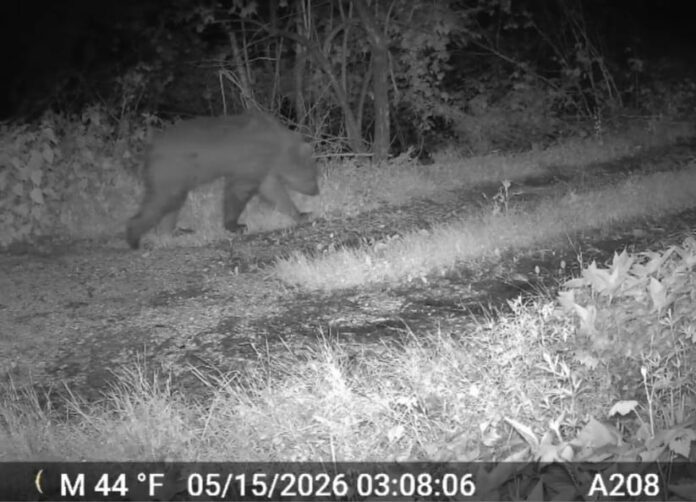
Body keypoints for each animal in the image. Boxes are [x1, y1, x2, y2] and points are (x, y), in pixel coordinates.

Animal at [125, 112, 319, 249]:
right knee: (161, 201)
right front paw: (236, 225)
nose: (316, 191)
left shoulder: (263, 166)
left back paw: (173, 232)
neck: (278, 145)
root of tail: (150, 147)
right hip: (171, 171)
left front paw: (303, 214)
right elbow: (239, 189)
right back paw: (134, 236)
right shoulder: (251, 159)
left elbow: (273, 191)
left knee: (172, 204)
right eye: (314, 175)